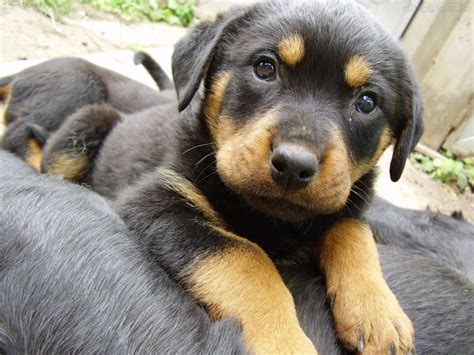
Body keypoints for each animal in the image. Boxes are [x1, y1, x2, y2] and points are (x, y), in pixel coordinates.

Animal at [37, 1, 424, 354]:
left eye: (367, 102)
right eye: (265, 67)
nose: (293, 164)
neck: (271, 220)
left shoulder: (346, 200)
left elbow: (354, 233)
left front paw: (379, 314)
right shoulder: (157, 200)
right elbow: (247, 257)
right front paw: (287, 343)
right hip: (88, 122)